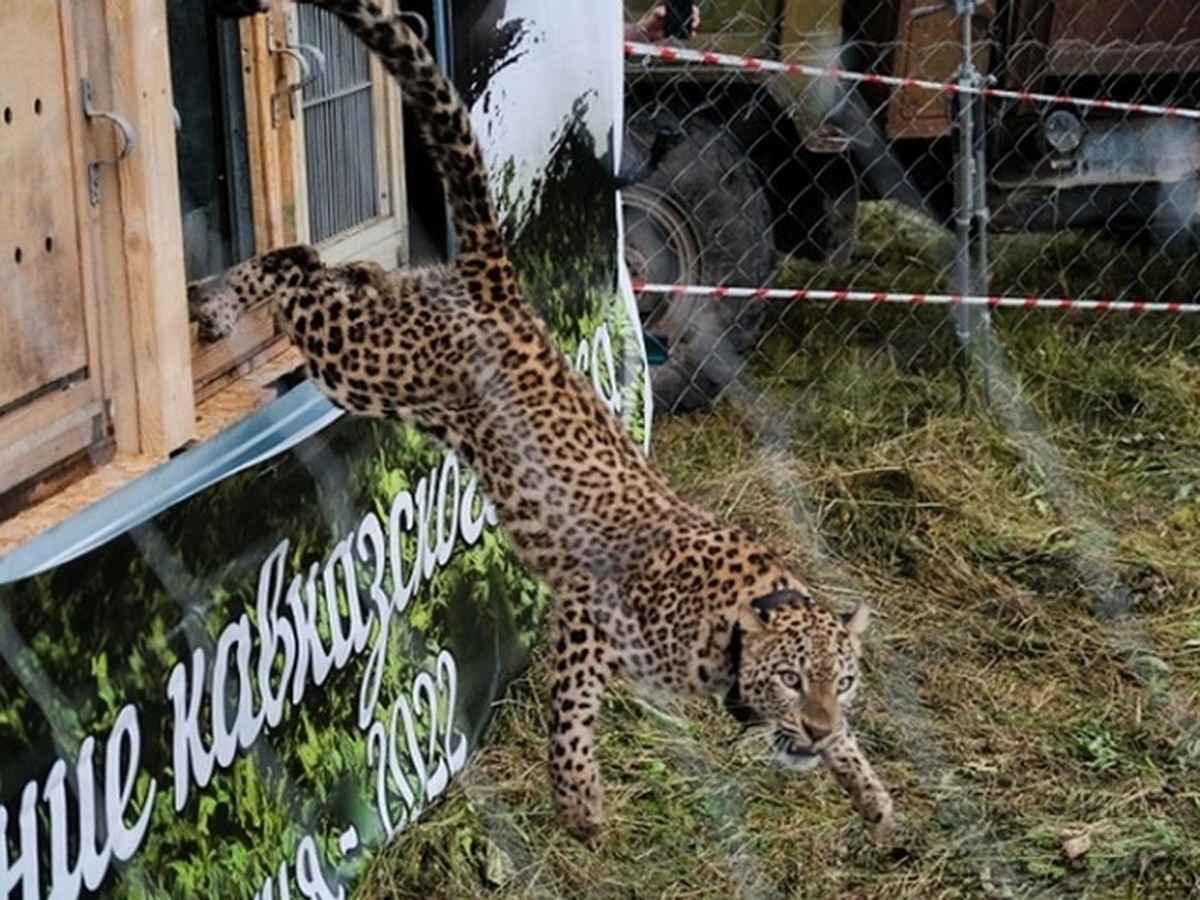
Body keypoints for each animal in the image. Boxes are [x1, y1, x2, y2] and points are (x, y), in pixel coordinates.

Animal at [201, 0, 892, 844]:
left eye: (844, 682)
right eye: (790, 679)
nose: (819, 728)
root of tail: (502, 291)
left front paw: (871, 793)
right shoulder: (588, 619)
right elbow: (569, 716)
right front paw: (581, 806)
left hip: (385, 331)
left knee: (328, 267)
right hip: (365, 365)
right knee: (294, 269)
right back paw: (217, 304)